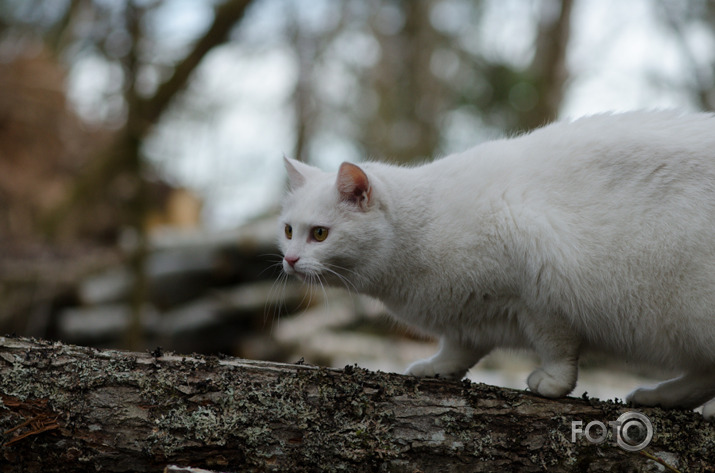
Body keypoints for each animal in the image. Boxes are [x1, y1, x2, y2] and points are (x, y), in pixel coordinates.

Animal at [278, 110, 715, 416]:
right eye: (287, 230)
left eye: (320, 234)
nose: (290, 259)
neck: (423, 228)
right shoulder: (468, 316)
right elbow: (459, 349)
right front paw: (436, 369)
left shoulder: (542, 295)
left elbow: (558, 349)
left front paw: (553, 383)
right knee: (702, 375)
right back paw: (660, 397)